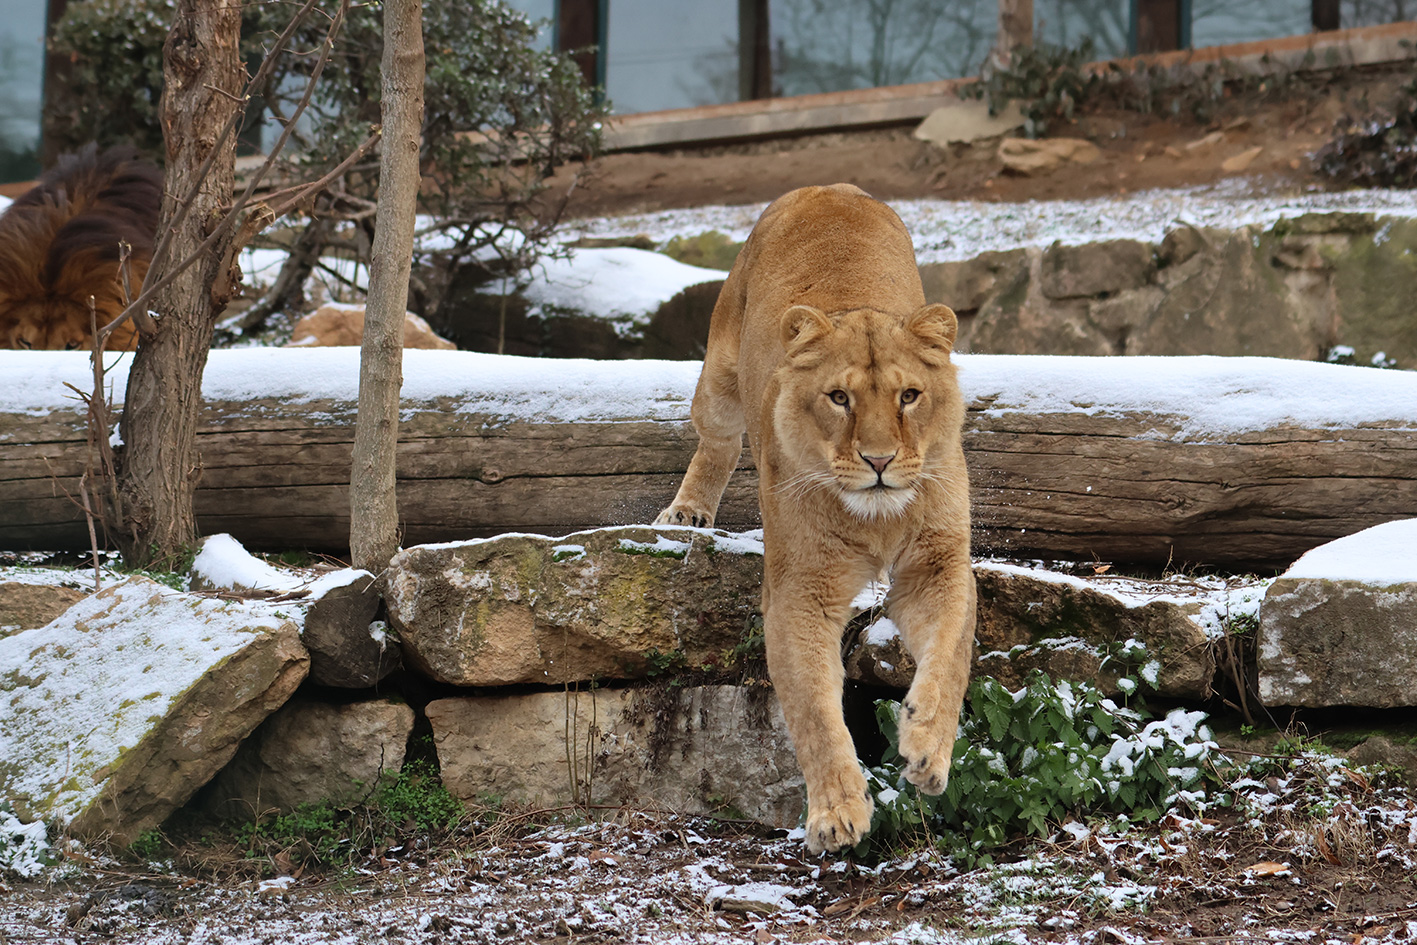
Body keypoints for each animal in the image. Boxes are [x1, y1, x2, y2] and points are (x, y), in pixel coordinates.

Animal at [655, 183, 975, 855]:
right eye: (839, 398)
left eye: (910, 396)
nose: (879, 460)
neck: (877, 519)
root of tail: (828, 188)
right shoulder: (800, 591)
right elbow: (814, 710)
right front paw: (836, 812)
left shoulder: (937, 569)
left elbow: (949, 660)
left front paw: (927, 751)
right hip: (718, 377)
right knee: (716, 441)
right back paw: (689, 511)